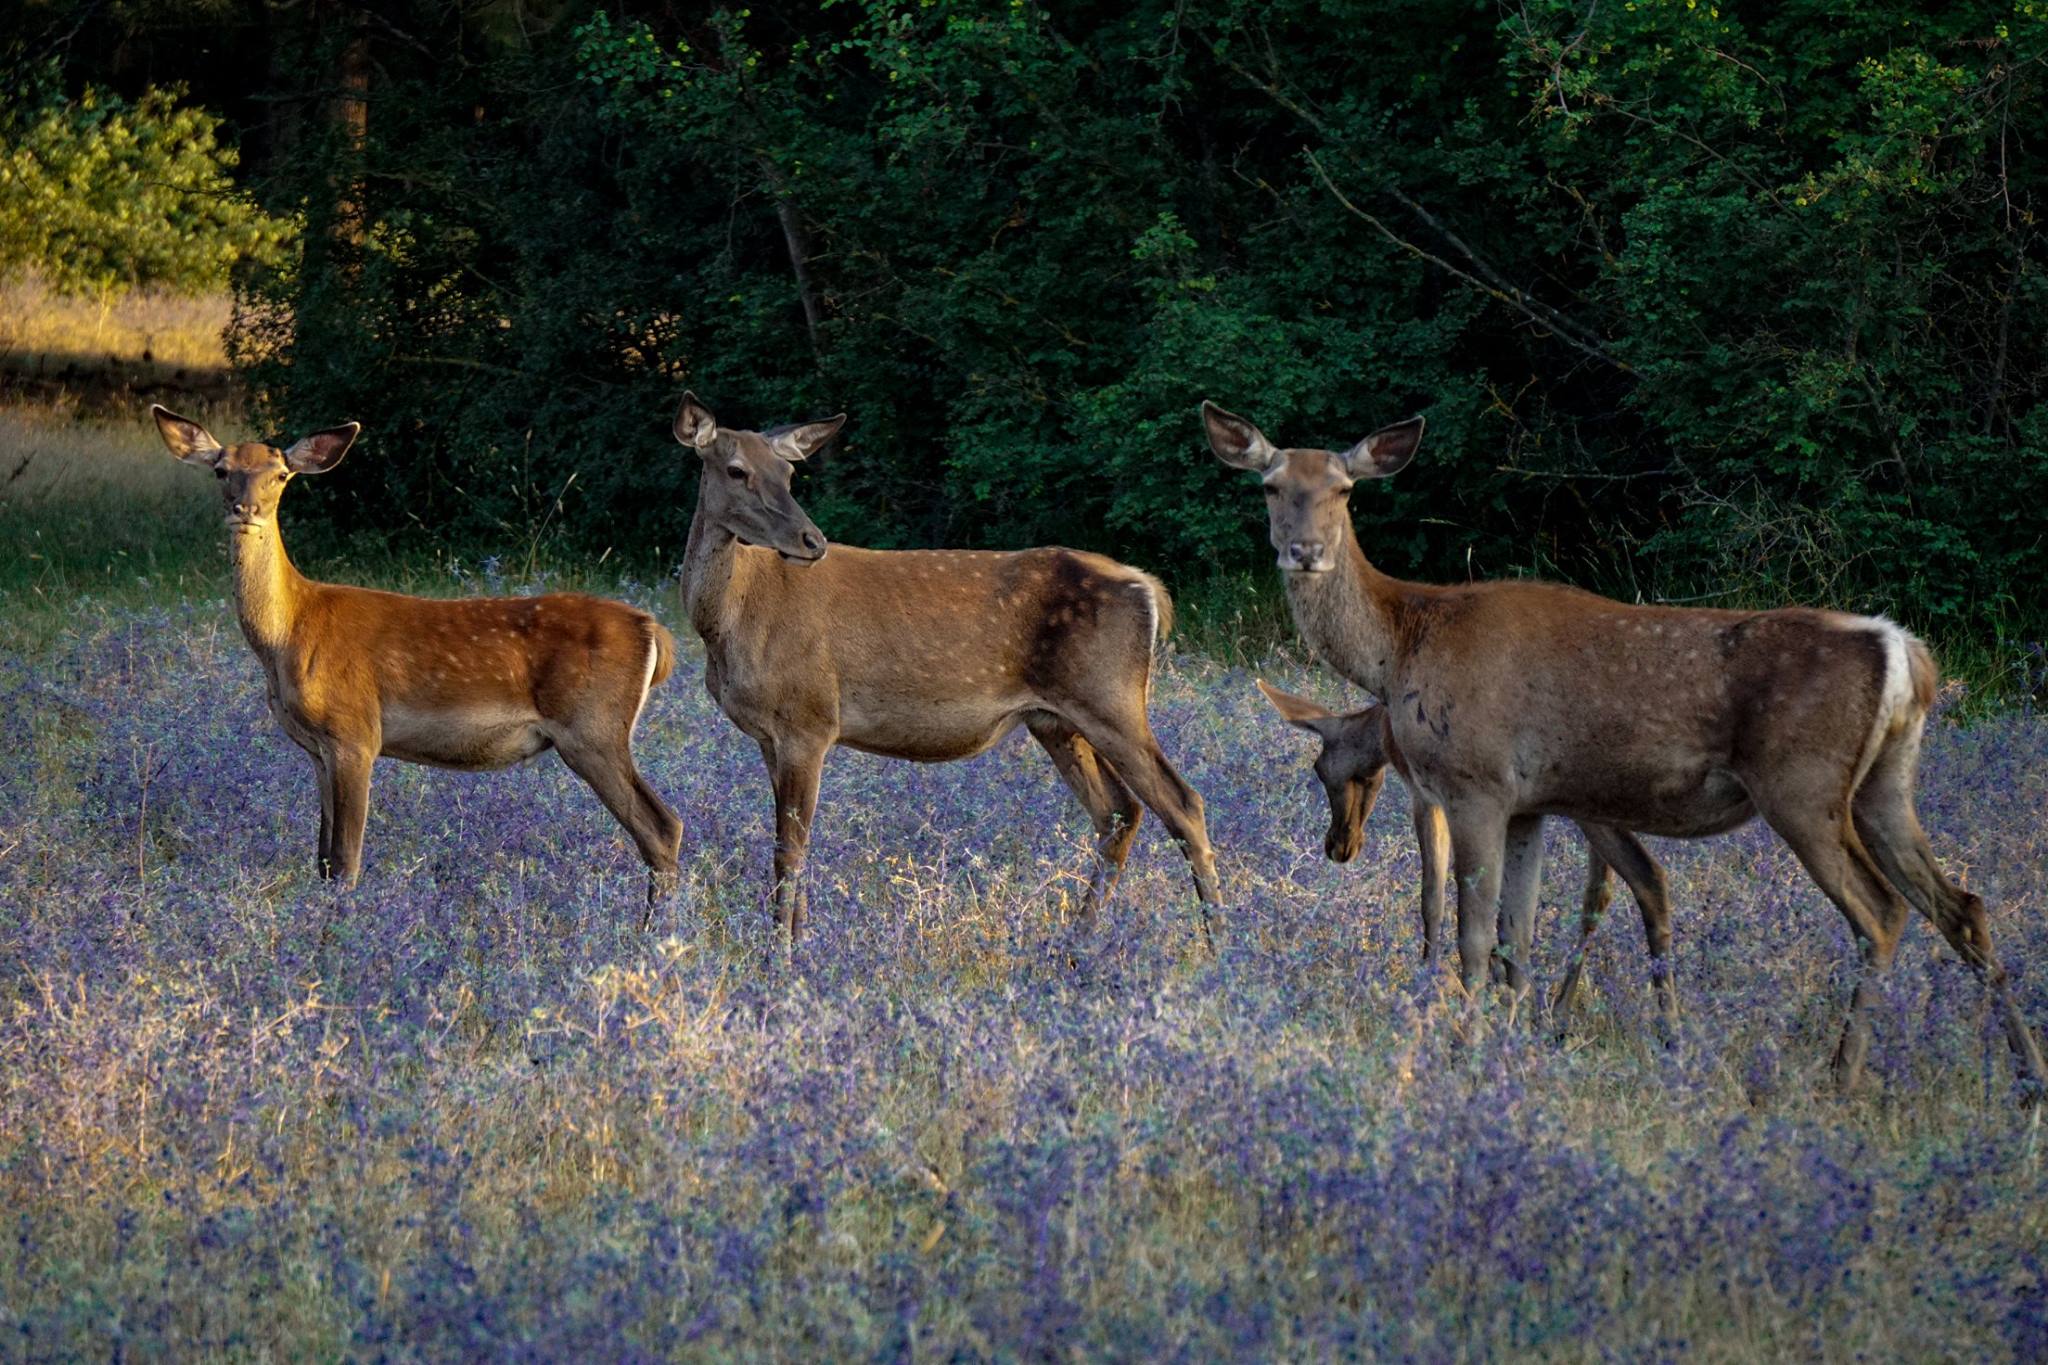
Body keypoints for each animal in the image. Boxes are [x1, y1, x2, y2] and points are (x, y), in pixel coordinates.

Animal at [153, 409, 679, 916]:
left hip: (592, 727)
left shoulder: (355, 733)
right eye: (221, 470)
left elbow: (345, 861)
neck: (290, 633)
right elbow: (321, 861)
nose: (246, 510)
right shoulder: (317, 749)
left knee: (661, 827)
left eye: (281, 475)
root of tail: (654, 629)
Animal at [675, 392, 1212, 949]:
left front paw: (780, 952)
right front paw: (798, 942)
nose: (811, 540)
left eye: (788, 472)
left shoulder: (809, 717)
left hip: (1110, 697)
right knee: (1120, 812)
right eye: (736, 470)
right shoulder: (770, 734)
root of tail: (1150, 589)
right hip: (1055, 719)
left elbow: (791, 849)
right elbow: (790, 842)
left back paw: (1219, 938)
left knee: (1183, 804)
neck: (730, 625)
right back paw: (1074, 944)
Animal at [1261, 683, 1679, 1035]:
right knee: (1600, 892)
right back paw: (1561, 1012)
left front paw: (1428, 981)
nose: (1337, 845)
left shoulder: (1429, 795)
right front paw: (1492, 973)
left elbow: (1432, 896)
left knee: (1648, 875)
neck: (1384, 728)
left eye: (1318, 767)